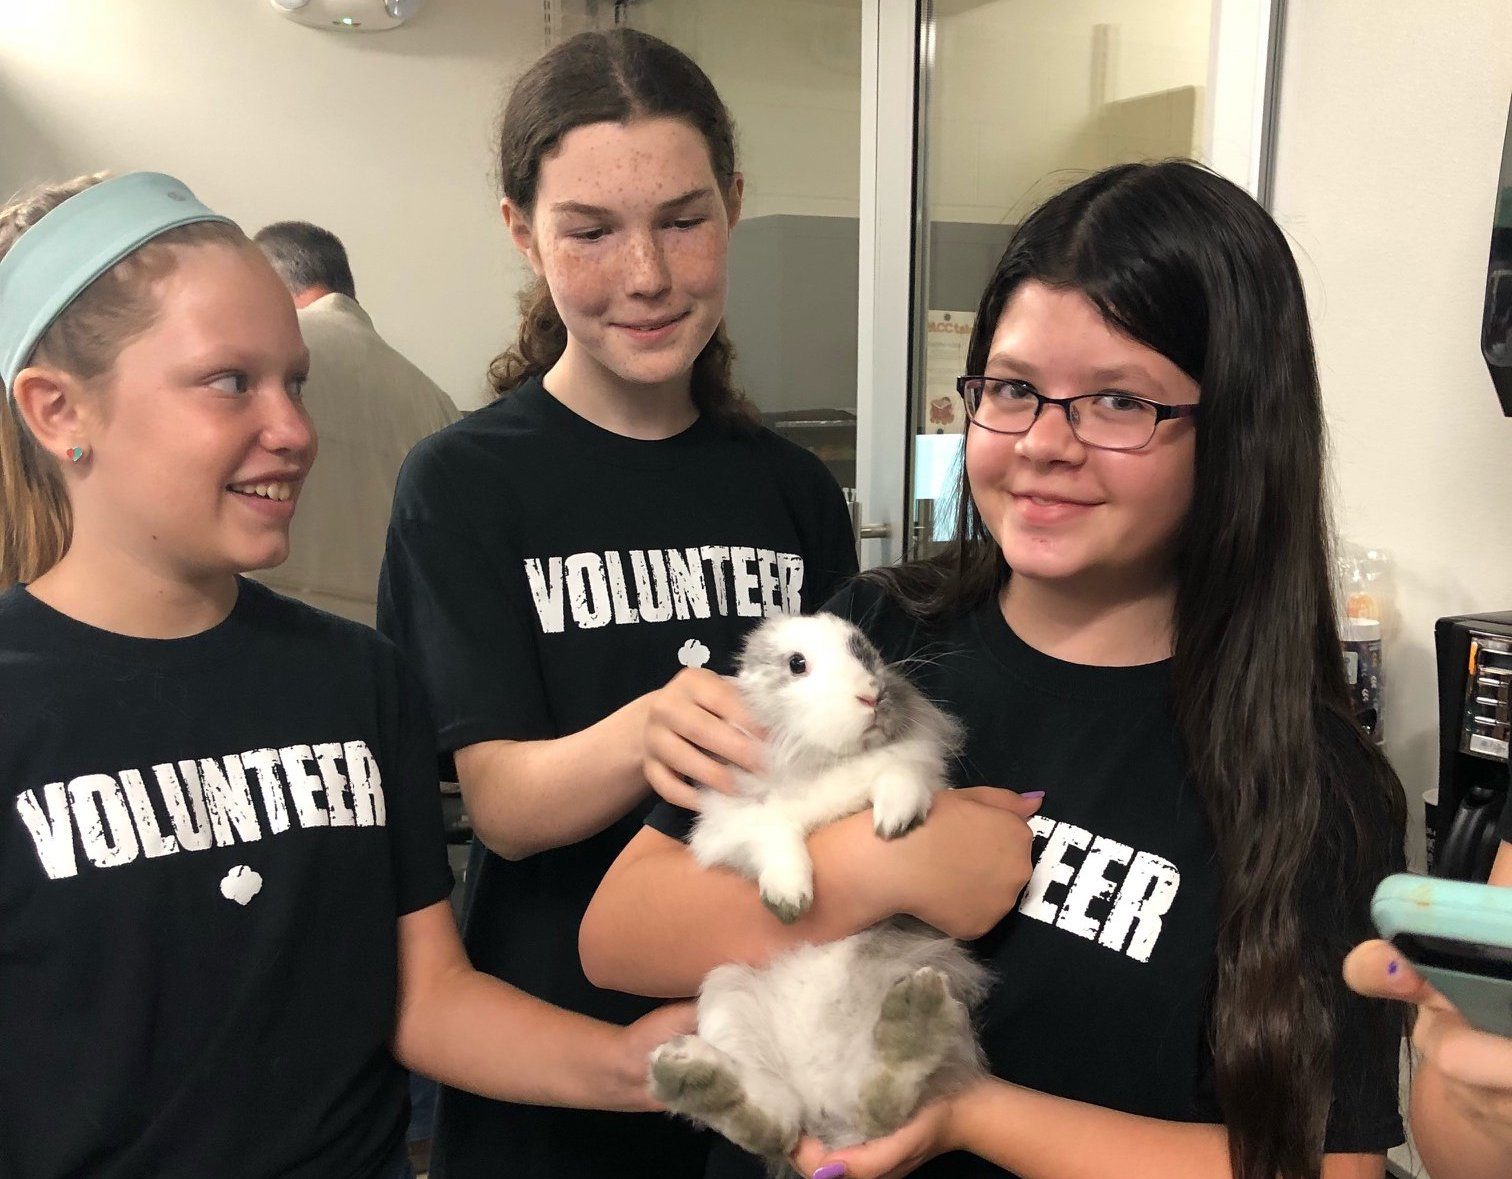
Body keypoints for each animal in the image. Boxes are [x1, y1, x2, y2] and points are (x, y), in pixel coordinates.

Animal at [650, 616, 991, 1166]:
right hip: (727, 994)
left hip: (930, 977)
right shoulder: (729, 829)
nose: (871, 695)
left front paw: (893, 821)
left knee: (881, 1104)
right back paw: (698, 1080)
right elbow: (773, 832)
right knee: (775, 1124)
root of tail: (823, 1101)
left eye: (865, 650)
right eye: (796, 664)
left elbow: (901, 775)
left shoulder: (915, 769)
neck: (824, 763)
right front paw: (790, 899)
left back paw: (911, 1024)